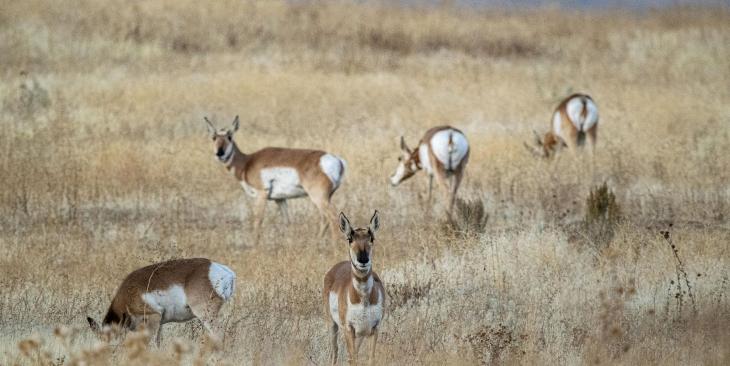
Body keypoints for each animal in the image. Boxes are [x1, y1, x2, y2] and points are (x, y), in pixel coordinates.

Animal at [85, 258, 235, 346]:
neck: (127, 295)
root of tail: (222, 270)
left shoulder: (153, 317)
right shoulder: (160, 323)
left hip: (205, 314)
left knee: (220, 334)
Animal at [202, 116, 344, 242]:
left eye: (230, 137)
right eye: (214, 138)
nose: (220, 153)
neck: (247, 162)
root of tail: (337, 160)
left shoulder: (261, 194)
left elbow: (258, 220)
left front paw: (254, 246)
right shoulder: (280, 199)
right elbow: (287, 222)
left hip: (318, 197)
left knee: (333, 218)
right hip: (325, 198)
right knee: (325, 219)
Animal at [322, 210, 384, 364]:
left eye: (372, 238)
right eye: (350, 239)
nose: (363, 259)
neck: (363, 299)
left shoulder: (374, 329)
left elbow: (371, 359)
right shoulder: (349, 330)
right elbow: (352, 359)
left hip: (360, 334)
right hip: (333, 325)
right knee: (335, 351)